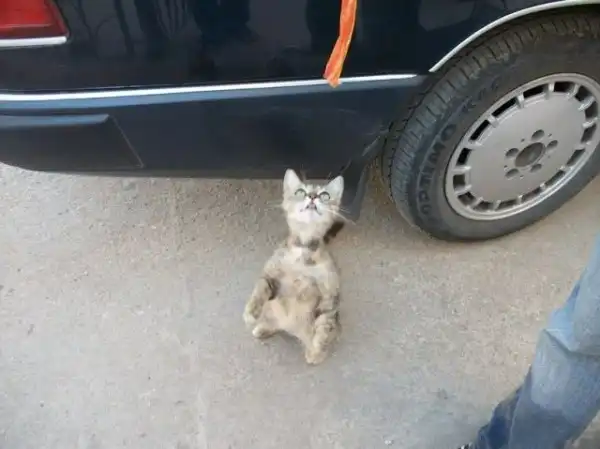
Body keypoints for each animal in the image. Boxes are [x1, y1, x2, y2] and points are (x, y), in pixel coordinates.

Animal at [243, 168, 344, 365]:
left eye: (325, 195)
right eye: (301, 192)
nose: (312, 196)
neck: (303, 250)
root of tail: (291, 329)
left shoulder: (329, 298)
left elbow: (324, 326)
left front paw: (317, 350)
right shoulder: (271, 275)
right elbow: (260, 289)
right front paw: (251, 311)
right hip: (272, 310)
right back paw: (263, 328)